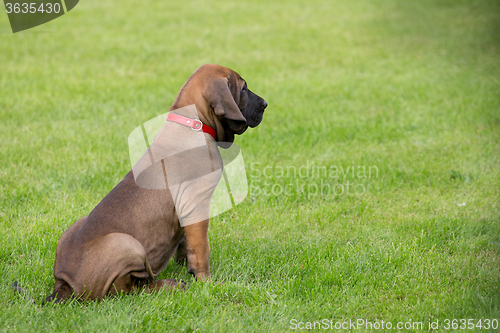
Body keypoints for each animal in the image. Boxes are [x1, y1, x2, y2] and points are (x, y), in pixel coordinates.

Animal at [45, 64, 268, 300]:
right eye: (243, 89)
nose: (265, 104)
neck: (193, 123)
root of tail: (64, 285)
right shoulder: (196, 203)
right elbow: (201, 248)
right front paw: (206, 282)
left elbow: (186, 243)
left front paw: (186, 267)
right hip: (127, 244)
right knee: (129, 291)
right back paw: (169, 285)